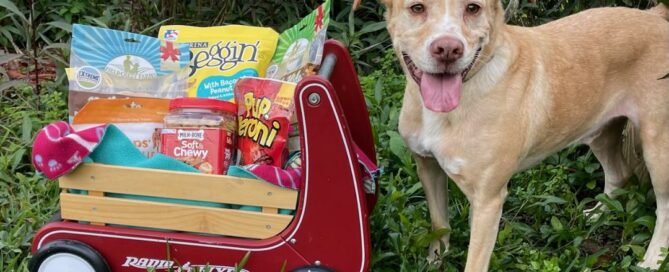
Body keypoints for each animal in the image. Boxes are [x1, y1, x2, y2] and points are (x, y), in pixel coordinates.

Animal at [352, 1, 668, 270]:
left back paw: (653, 259)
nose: (448, 49)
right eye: (417, 8)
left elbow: (475, 262)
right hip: (598, 130)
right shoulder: (427, 167)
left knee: (664, 207)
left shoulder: (488, 200)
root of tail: (655, 16)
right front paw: (434, 263)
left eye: (473, 8)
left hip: (657, 151)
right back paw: (599, 212)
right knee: (619, 173)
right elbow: (439, 226)